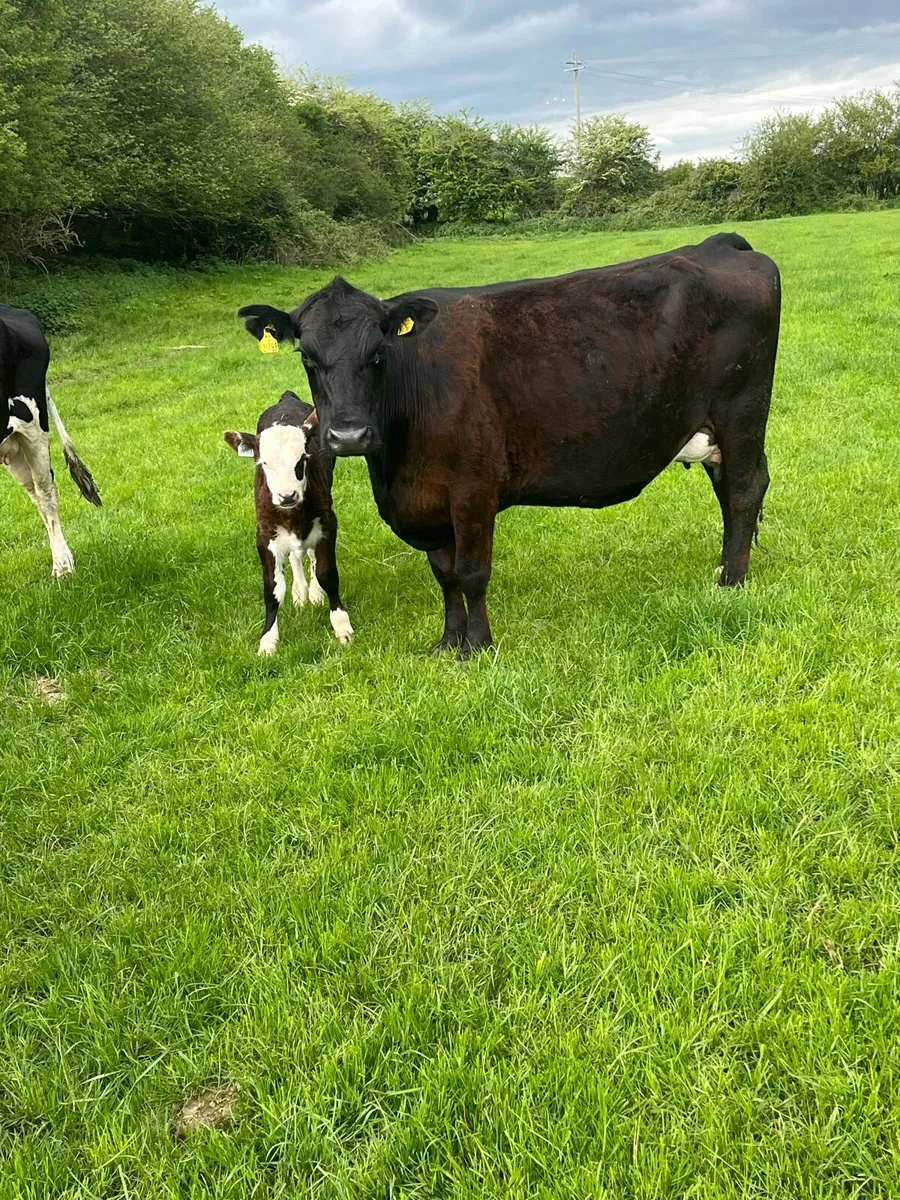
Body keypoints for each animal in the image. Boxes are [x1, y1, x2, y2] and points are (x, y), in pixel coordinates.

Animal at [224, 391, 353, 654]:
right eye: (263, 463)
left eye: (302, 459)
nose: (287, 496)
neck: (291, 514)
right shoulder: (264, 535)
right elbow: (273, 589)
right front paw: (268, 640)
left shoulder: (328, 523)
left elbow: (326, 573)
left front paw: (341, 625)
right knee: (294, 556)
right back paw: (300, 592)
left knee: (310, 556)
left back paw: (313, 593)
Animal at [237, 232, 780, 655]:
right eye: (307, 356)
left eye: (378, 353)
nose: (348, 435)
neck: (398, 468)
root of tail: (718, 244)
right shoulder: (431, 505)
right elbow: (445, 574)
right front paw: (448, 643)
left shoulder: (473, 490)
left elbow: (472, 572)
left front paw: (478, 647)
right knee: (731, 491)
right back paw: (726, 568)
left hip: (742, 412)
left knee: (744, 491)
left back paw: (733, 583)